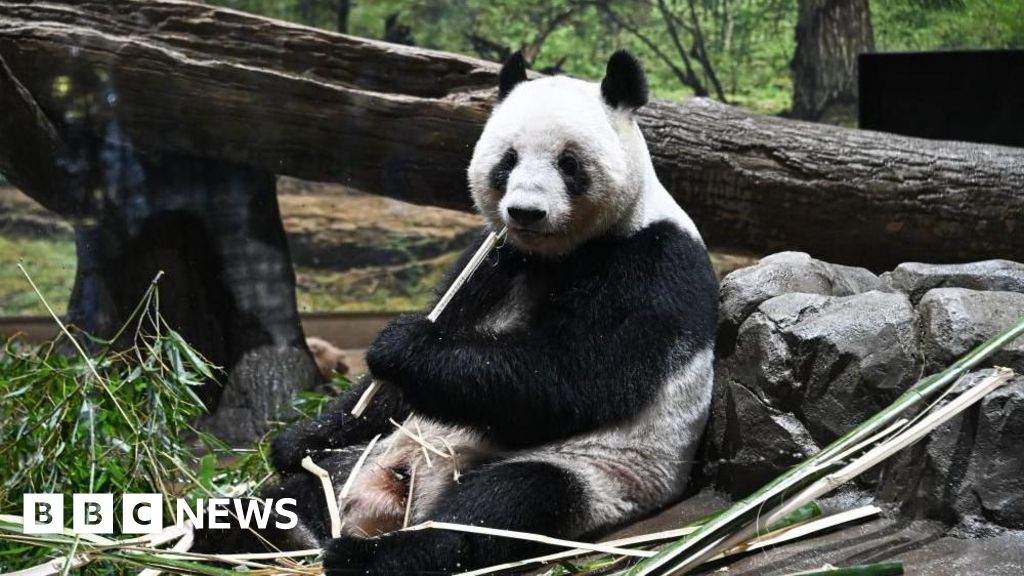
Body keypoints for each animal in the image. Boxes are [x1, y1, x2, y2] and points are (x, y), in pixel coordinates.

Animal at [197, 50, 718, 575]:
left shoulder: (649, 263)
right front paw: (297, 440)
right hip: (368, 456)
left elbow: (573, 377)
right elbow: (391, 388)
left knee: (503, 504)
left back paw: (370, 555)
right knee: (309, 487)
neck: (555, 256)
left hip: (598, 472)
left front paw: (403, 346)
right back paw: (252, 529)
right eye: (507, 160)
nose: (525, 212)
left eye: (569, 163)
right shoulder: (492, 261)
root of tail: (393, 502)